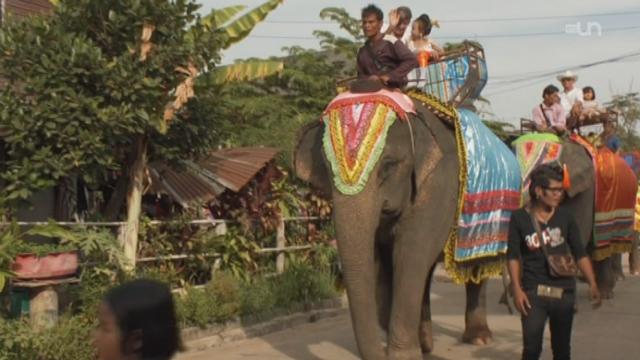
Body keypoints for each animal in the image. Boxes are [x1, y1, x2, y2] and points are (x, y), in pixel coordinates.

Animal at [292, 99, 492, 360]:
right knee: (427, 271)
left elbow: (409, 255)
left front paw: (404, 356)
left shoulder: (438, 185)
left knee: (478, 265)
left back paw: (478, 339)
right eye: (327, 169)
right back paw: (426, 345)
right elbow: (381, 263)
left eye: (388, 166)